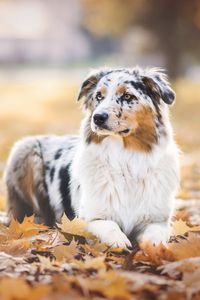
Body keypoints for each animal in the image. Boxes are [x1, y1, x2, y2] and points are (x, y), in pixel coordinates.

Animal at [4, 67, 180, 248]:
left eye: (127, 96)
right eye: (99, 96)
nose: (98, 117)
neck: (125, 160)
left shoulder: (158, 220)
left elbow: (155, 238)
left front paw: (153, 248)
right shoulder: (88, 219)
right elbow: (109, 225)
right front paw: (119, 241)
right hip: (24, 149)